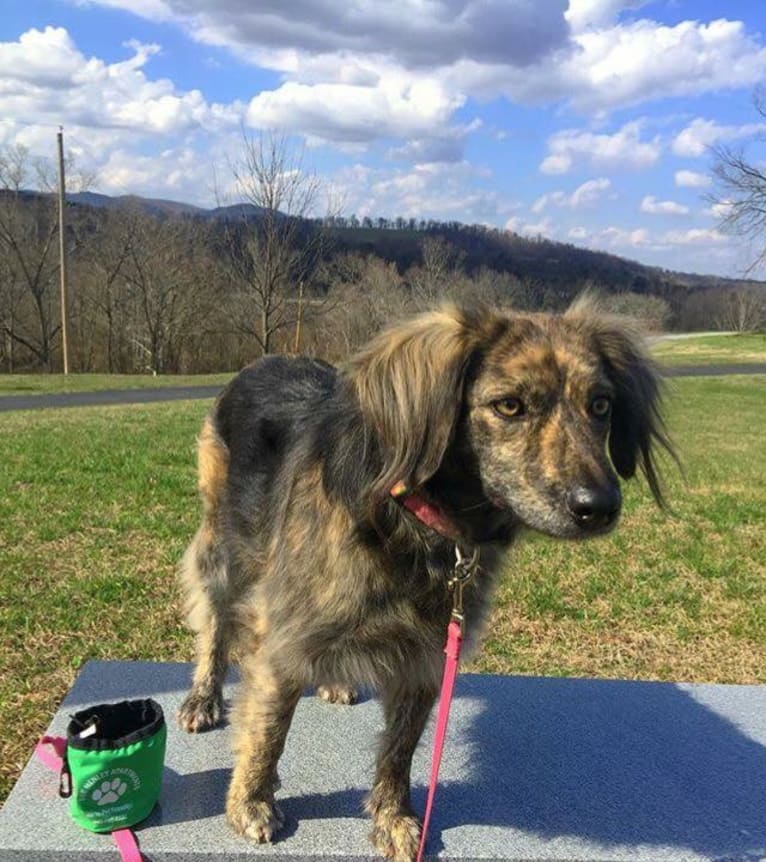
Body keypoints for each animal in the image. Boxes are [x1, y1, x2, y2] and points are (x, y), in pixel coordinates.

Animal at [178, 298, 672, 862]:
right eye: (509, 406)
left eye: (601, 405)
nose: (601, 507)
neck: (416, 521)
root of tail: (264, 360)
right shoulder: (282, 637)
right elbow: (269, 728)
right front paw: (251, 801)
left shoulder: (426, 655)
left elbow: (401, 749)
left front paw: (394, 818)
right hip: (223, 544)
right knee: (215, 623)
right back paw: (203, 697)